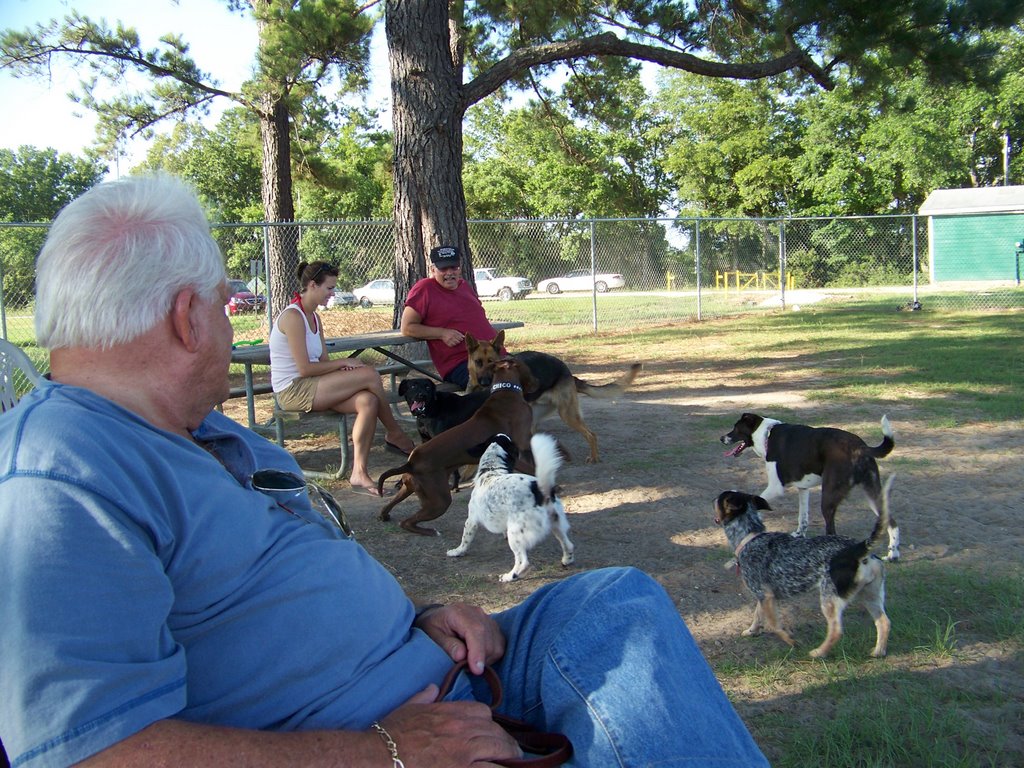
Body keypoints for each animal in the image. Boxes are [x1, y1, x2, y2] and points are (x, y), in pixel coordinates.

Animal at [376, 360, 536, 536]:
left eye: (426, 387)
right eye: (526, 367)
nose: (536, 382)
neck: (506, 392)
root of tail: (410, 463)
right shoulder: (523, 447)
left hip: (410, 489)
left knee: (389, 506)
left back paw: (385, 515)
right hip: (440, 501)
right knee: (406, 522)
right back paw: (430, 531)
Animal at [448, 434, 577, 581]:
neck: (491, 470)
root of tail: (539, 490)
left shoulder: (471, 520)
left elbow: (465, 540)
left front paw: (457, 551)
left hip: (515, 535)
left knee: (523, 562)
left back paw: (509, 576)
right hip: (556, 525)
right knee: (568, 545)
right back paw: (567, 559)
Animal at [466, 331, 638, 462]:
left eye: (492, 363)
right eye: (478, 362)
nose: (484, 382)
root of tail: (568, 373)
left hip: (568, 415)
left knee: (591, 434)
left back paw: (594, 457)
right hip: (535, 419)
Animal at [716, 475, 892, 663]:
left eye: (719, 500)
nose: (713, 499)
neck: (750, 536)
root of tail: (858, 548)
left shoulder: (766, 596)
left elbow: (774, 625)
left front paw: (791, 641)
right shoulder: (763, 594)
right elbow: (758, 615)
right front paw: (752, 631)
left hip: (830, 599)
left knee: (836, 631)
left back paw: (819, 652)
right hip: (869, 595)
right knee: (884, 622)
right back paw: (878, 651)